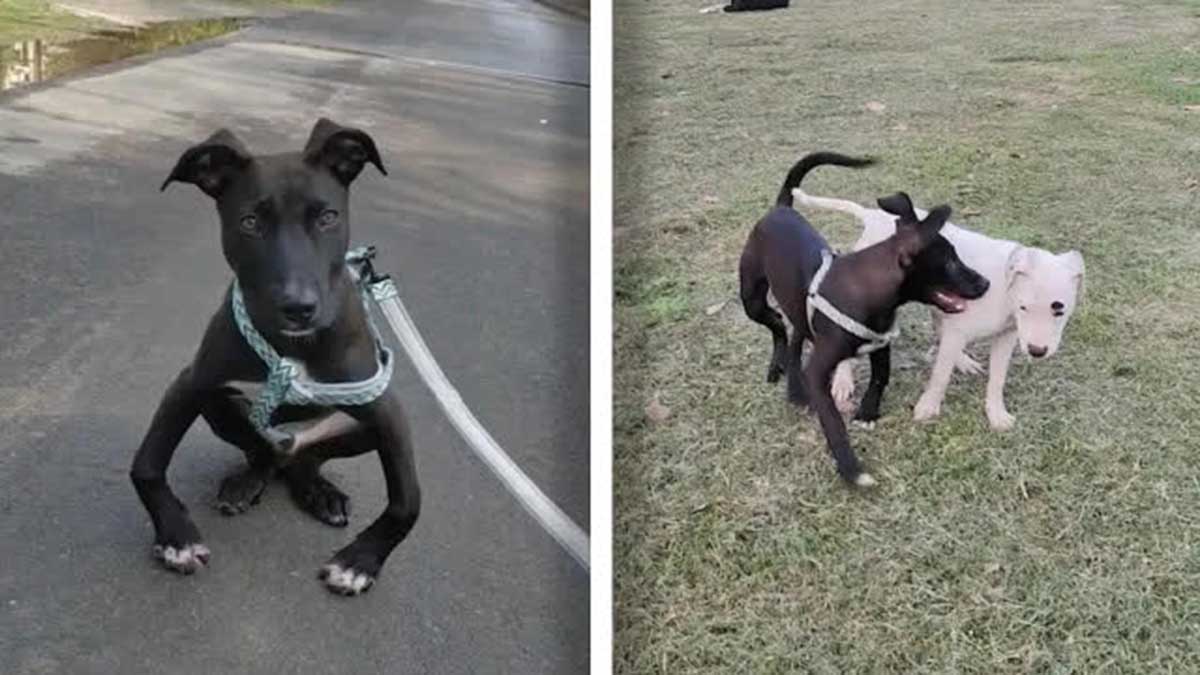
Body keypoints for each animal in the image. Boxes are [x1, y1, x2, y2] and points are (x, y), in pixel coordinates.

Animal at [132, 118, 420, 590]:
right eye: (250, 222)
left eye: (327, 217)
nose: (298, 307)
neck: (293, 345)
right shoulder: (192, 385)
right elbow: (146, 467)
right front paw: (177, 538)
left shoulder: (385, 410)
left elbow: (407, 502)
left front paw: (359, 562)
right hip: (221, 407)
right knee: (264, 454)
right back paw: (247, 484)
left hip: (354, 429)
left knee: (307, 459)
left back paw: (319, 492)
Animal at [739, 152, 984, 482]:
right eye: (950, 263)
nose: (986, 283)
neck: (866, 290)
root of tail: (780, 208)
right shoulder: (820, 372)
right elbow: (832, 420)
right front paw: (850, 469)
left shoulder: (880, 345)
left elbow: (880, 378)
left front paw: (867, 413)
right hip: (751, 299)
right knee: (776, 321)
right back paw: (781, 369)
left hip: (796, 305)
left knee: (794, 331)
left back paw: (794, 386)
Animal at [796, 184, 1089, 425]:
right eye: (1024, 308)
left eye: (1059, 309)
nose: (1037, 351)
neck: (1004, 288)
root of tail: (873, 216)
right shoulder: (959, 331)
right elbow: (940, 375)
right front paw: (928, 407)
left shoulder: (1005, 337)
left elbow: (997, 378)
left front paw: (996, 413)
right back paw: (843, 380)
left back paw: (964, 361)